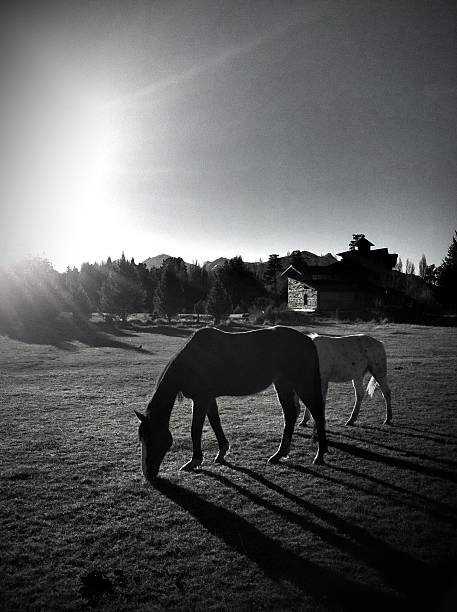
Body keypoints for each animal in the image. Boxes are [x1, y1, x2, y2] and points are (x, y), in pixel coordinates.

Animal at [134, 328, 326, 480]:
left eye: (152, 439)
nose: (147, 474)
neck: (192, 362)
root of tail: (307, 340)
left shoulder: (201, 399)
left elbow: (196, 428)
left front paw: (194, 461)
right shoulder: (209, 399)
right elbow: (215, 423)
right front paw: (222, 452)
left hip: (302, 384)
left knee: (317, 413)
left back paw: (319, 455)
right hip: (283, 384)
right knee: (290, 414)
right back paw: (279, 455)